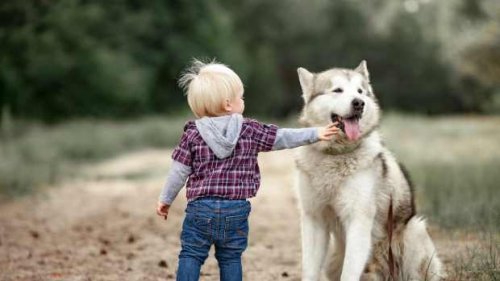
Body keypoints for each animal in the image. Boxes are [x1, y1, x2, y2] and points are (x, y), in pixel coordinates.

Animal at [294, 61, 444, 280]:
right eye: (337, 90)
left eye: (360, 91)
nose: (359, 103)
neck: (336, 154)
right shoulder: (314, 219)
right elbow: (310, 271)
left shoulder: (358, 220)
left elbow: (349, 273)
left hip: (414, 230)